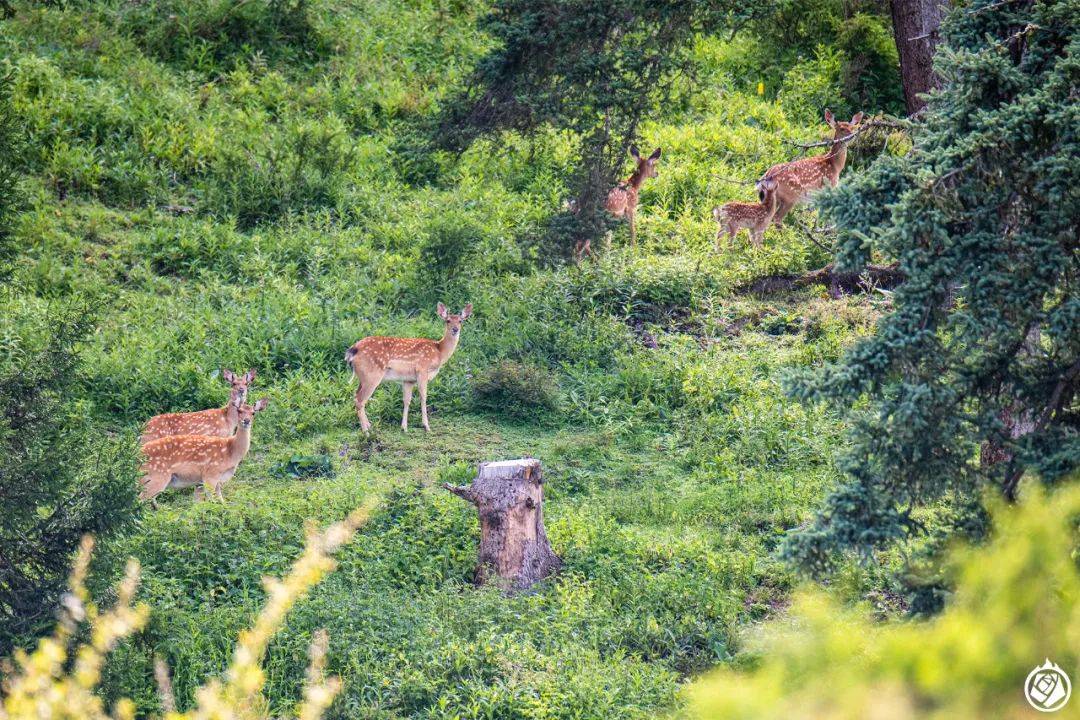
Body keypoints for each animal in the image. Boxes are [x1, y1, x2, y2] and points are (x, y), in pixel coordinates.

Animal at [139, 397, 267, 505]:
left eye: (253, 412)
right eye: (239, 411)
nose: (246, 421)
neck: (231, 453)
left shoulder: (212, 480)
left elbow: (219, 501)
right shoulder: (211, 473)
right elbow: (211, 500)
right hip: (156, 477)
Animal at [341, 302, 468, 433]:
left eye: (461, 321)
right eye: (448, 320)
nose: (455, 329)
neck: (439, 351)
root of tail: (352, 351)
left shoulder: (408, 379)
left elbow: (407, 400)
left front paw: (404, 427)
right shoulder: (422, 369)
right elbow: (423, 397)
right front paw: (426, 426)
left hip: (363, 377)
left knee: (356, 396)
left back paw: (369, 426)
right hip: (372, 375)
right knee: (360, 400)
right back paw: (366, 431)